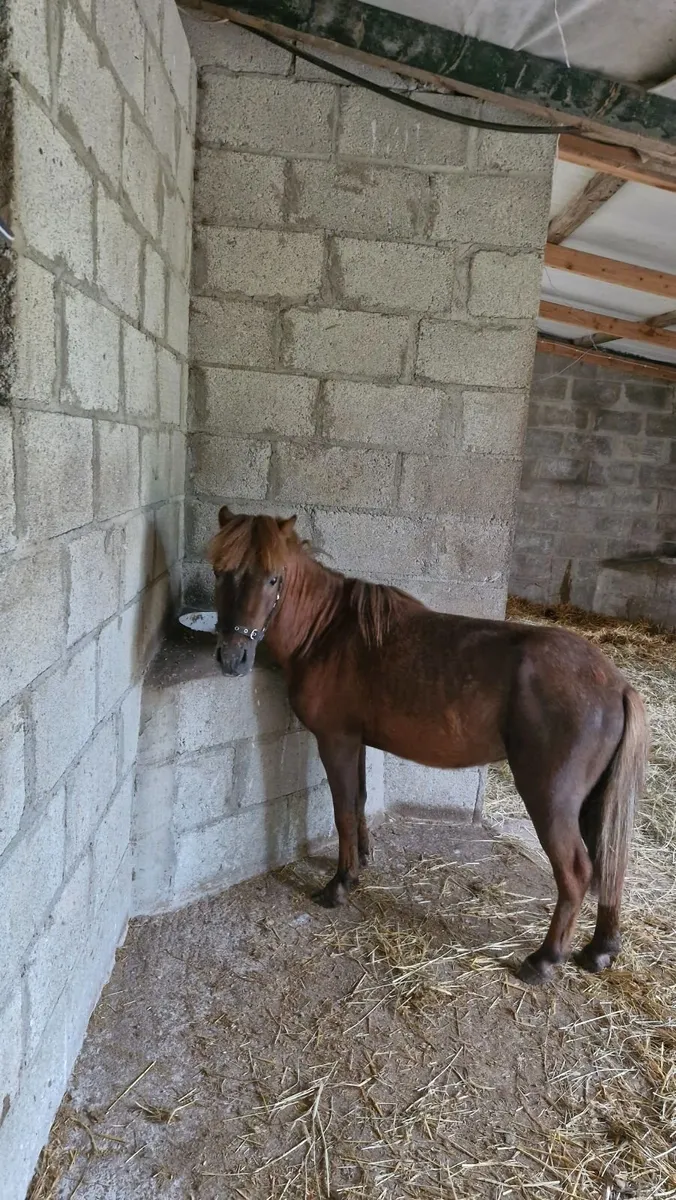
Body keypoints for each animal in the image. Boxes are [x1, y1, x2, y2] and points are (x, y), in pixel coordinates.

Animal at [207, 508, 649, 985]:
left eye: (273, 578)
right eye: (219, 571)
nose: (232, 657)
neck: (327, 632)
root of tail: (618, 686)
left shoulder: (335, 740)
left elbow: (343, 810)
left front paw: (340, 885)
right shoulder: (357, 742)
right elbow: (359, 802)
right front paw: (361, 861)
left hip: (551, 798)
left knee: (576, 872)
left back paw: (543, 960)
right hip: (594, 801)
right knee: (609, 862)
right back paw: (600, 950)